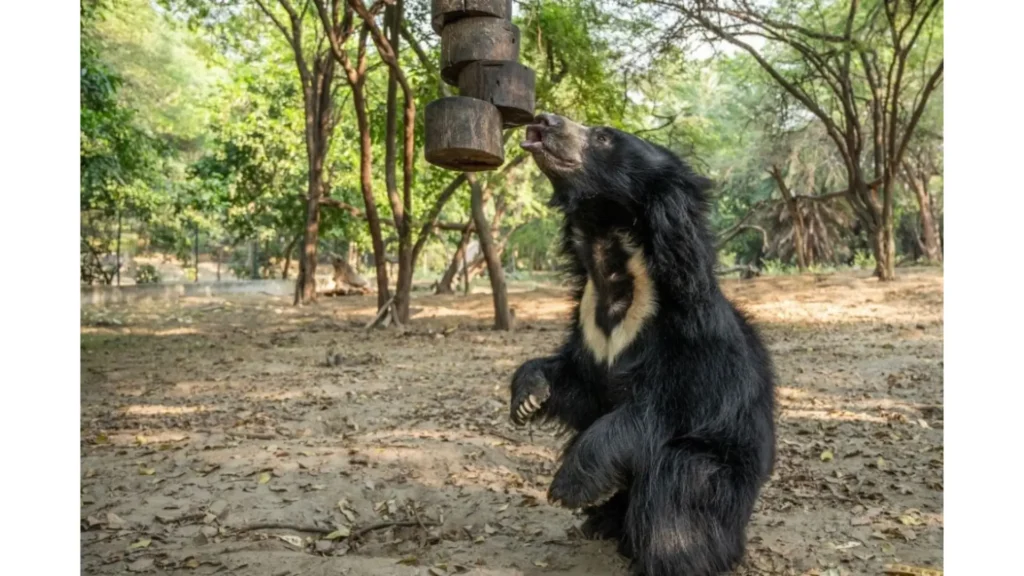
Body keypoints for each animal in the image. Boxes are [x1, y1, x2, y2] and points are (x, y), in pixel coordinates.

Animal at [511, 113, 777, 576]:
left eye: (602, 137)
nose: (544, 119)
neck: (611, 262)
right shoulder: (590, 328)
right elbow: (581, 386)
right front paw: (527, 396)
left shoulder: (692, 341)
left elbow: (659, 412)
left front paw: (568, 487)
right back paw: (602, 522)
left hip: (723, 483)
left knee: (678, 479)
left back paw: (670, 556)